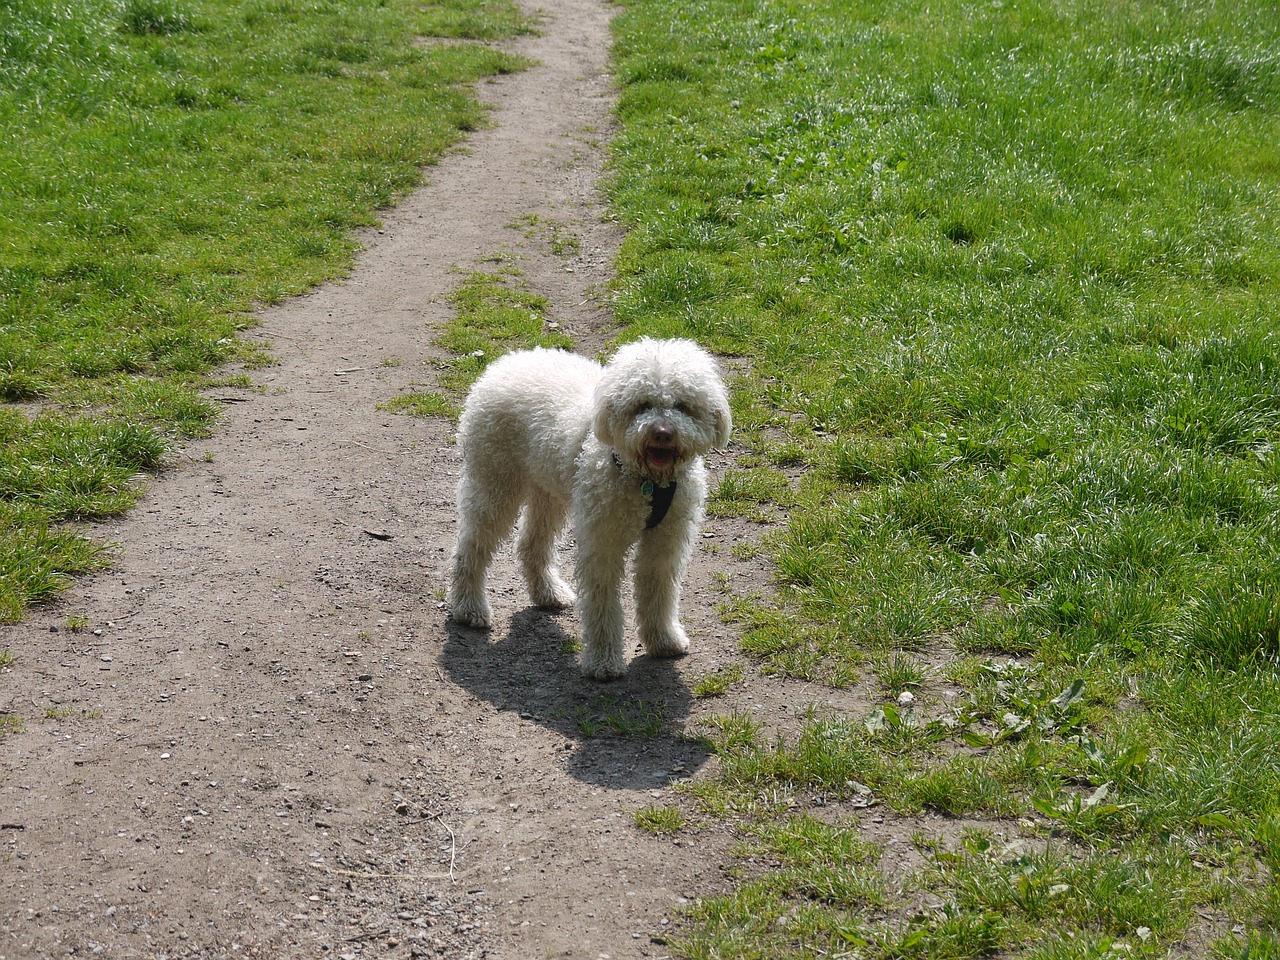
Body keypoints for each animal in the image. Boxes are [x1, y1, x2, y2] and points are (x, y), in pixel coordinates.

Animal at [448, 343, 732, 680]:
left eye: (682, 406)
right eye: (642, 405)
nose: (662, 433)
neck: (648, 483)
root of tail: (505, 362)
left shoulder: (666, 542)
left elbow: (659, 592)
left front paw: (664, 640)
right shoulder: (602, 542)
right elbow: (602, 604)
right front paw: (603, 663)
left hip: (548, 492)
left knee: (531, 543)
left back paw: (549, 593)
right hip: (494, 484)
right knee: (471, 547)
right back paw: (469, 608)